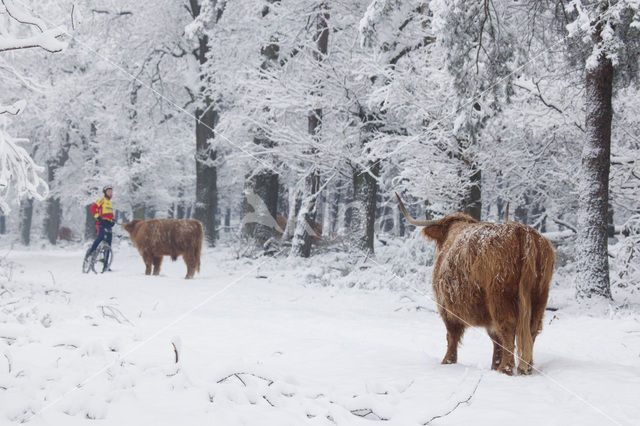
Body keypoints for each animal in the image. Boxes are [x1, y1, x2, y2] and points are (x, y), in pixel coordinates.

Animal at [396, 194, 556, 376]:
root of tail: (522, 231)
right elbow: (495, 338)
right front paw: (493, 364)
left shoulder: (445, 306)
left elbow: (452, 335)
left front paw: (448, 361)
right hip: (539, 296)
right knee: (531, 328)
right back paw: (526, 367)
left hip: (499, 297)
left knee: (507, 327)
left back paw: (506, 369)